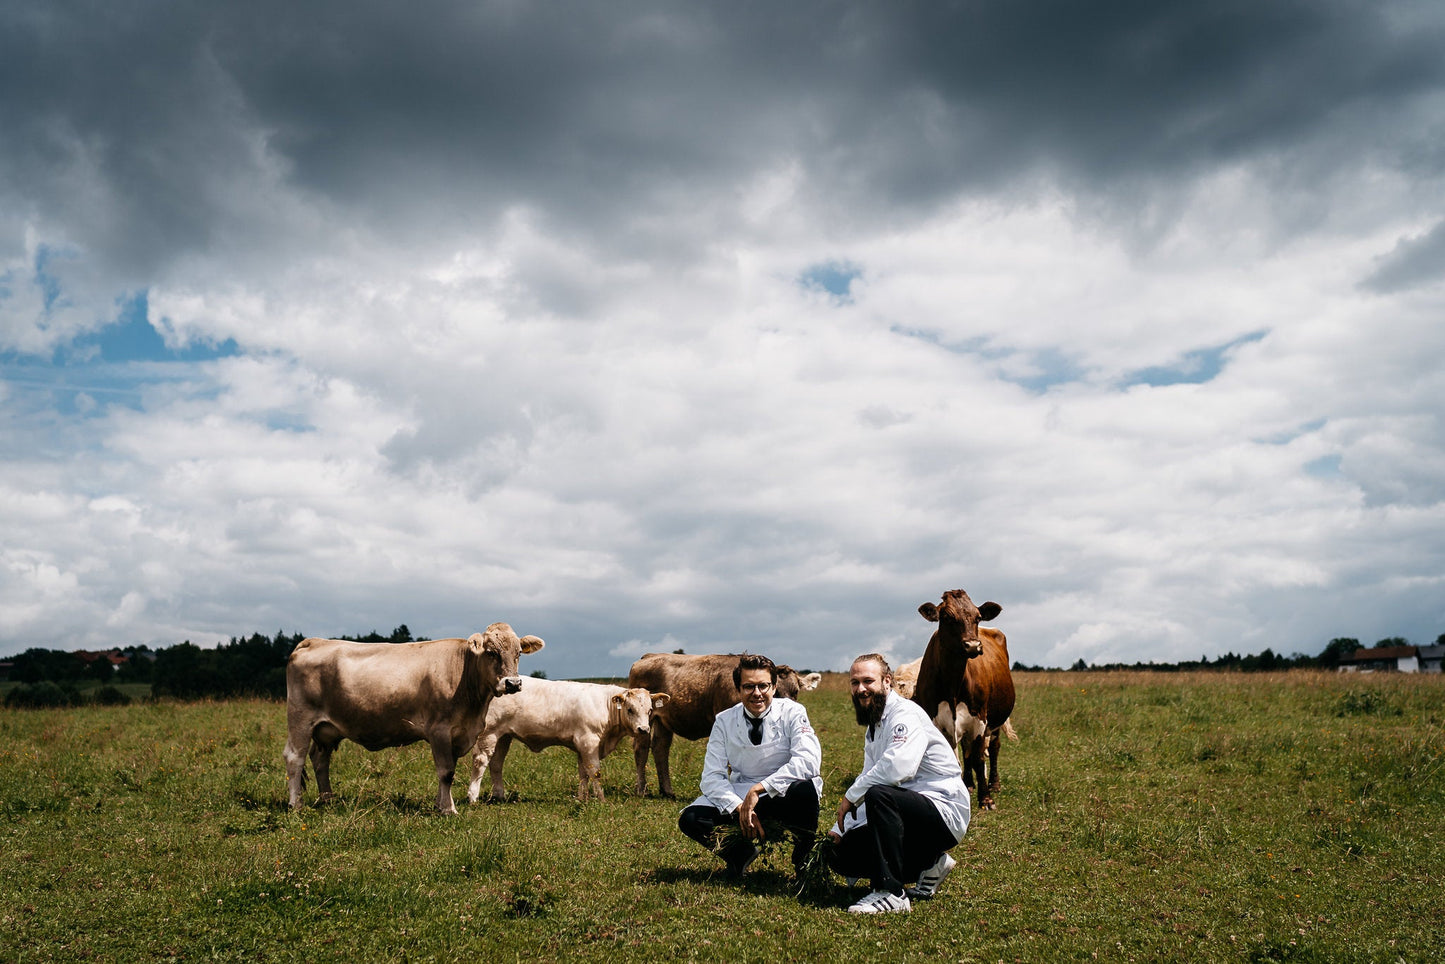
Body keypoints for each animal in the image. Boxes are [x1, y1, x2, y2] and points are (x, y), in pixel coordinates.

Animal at [284, 627, 543, 815]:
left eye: (518, 653)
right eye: (491, 652)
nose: (513, 683)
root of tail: (314, 641)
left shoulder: (458, 733)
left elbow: (448, 770)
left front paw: (440, 805)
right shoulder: (439, 730)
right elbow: (446, 771)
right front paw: (448, 810)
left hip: (326, 730)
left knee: (320, 760)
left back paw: (327, 799)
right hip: (300, 718)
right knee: (295, 758)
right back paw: (296, 805)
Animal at [468, 679, 670, 809]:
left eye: (650, 710)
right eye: (630, 709)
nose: (644, 729)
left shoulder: (582, 745)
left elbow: (583, 773)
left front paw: (582, 799)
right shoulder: (588, 741)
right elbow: (595, 772)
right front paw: (601, 800)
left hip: (503, 736)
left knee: (496, 764)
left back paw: (498, 796)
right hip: (488, 733)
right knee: (480, 761)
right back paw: (473, 797)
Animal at [624, 656, 820, 797]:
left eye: (795, 691)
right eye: (776, 690)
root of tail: (647, 657)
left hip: (664, 720)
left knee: (660, 748)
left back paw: (667, 791)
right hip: (645, 718)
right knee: (641, 749)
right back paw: (641, 790)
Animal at [913, 592, 1017, 809]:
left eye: (978, 617)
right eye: (946, 617)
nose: (973, 645)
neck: (953, 684)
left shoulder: (979, 719)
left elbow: (978, 759)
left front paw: (986, 799)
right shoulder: (937, 721)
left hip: (995, 720)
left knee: (993, 748)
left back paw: (993, 784)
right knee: (966, 751)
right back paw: (968, 784)